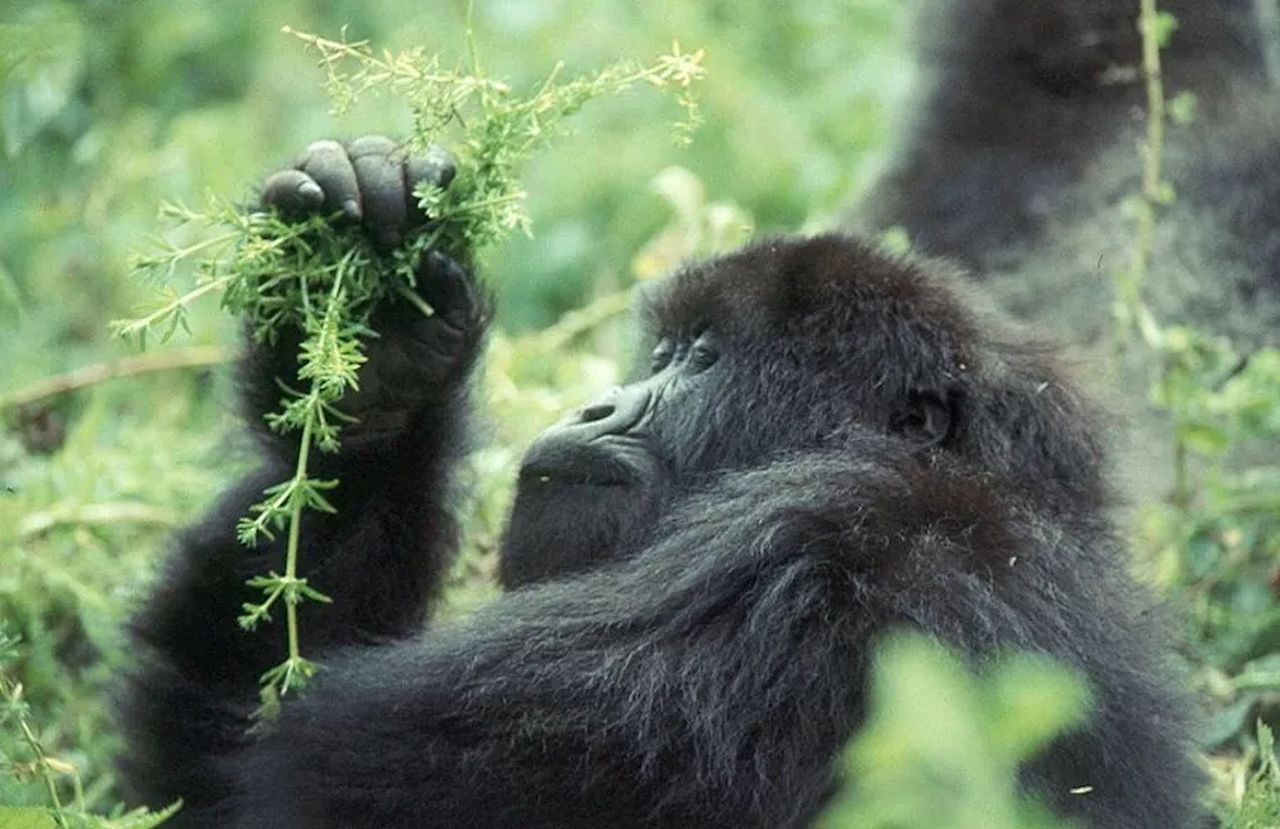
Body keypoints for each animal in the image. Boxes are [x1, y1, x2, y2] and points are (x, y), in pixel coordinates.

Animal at [115, 1, 1244, 829]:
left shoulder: (820, 551)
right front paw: (370, 364)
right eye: (658, 353)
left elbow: (291, 782)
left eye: (700, 359)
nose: (597, 400)